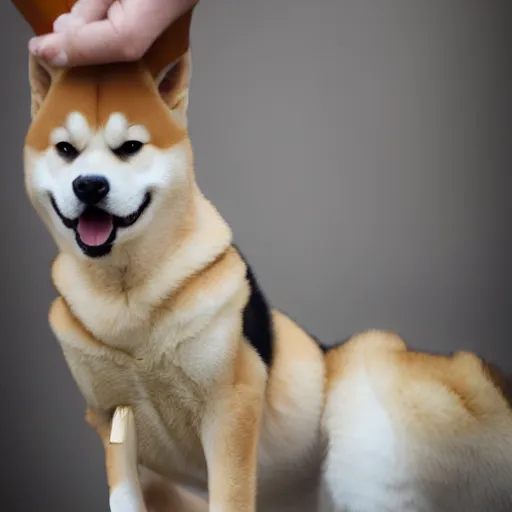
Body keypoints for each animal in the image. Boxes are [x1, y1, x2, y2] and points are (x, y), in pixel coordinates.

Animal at [13, 1, 512, 512]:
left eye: (130, 147)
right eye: (66, 150)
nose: (90, 185)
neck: (128, 301)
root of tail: (492, 382)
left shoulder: (231, 408)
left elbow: (230, 493)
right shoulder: (112, 419)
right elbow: (125, 491)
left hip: (366, 395)